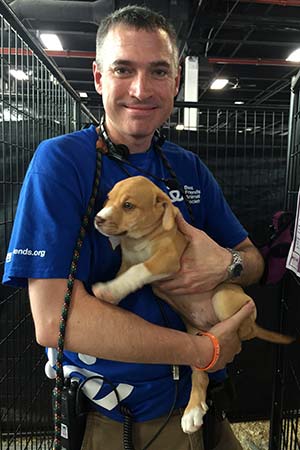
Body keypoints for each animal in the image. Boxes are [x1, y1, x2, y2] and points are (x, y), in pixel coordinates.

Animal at [92, 175, 292, 432]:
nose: (98, 218)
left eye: (128, 205)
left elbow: (139, 270)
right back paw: (193, 411)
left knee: (246, 329)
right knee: (201, 373)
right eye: (108, 199)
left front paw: (110, 290)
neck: (141, 241)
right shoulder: (126, 262)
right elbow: (124, 273)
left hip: (224, 299)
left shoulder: (167, 259)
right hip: (196, 344)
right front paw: (111, 292)